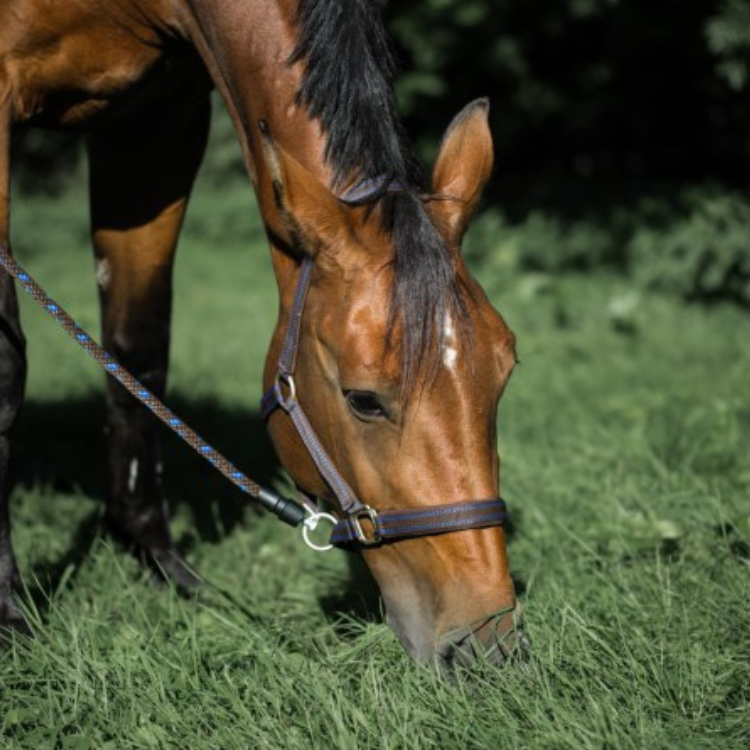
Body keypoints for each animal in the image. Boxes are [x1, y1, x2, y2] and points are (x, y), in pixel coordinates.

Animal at [0, 0, 522, 668]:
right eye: (363, 399)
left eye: (505, 374)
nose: (489, 641)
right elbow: (7, 368)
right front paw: (8, 609)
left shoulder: (159, 121)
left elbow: (138, 349)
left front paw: (156, 561)